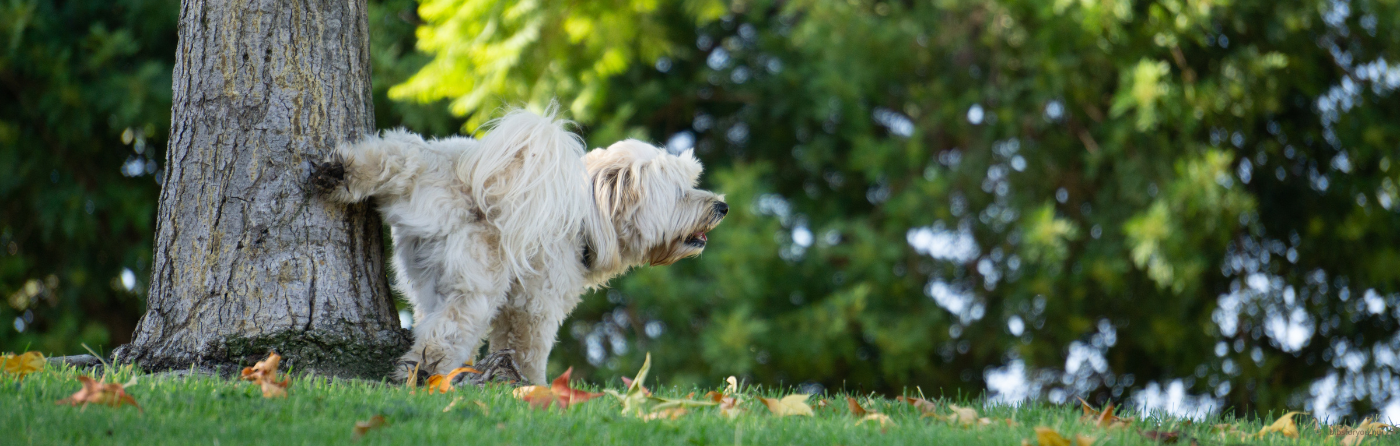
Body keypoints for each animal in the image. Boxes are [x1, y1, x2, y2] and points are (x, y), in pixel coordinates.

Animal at [312, 105, 728, 385]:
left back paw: (340, 171)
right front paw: (532, 387)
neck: (589, 215)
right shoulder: (535, 304)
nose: (722, 206)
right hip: (479, 286)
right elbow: (528, 349)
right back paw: (426, 374)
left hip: (419, 211)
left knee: (391, 155)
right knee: (445, 334)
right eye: (682, 192)